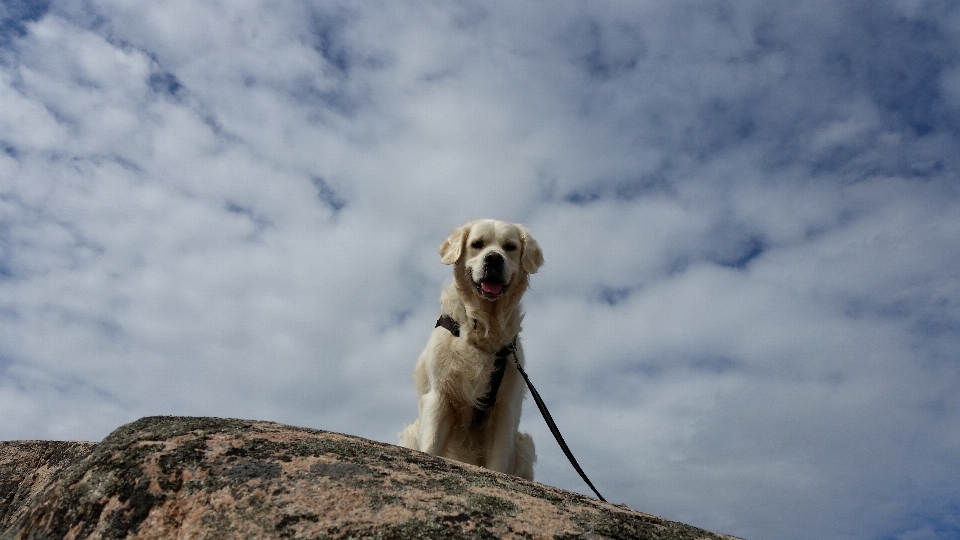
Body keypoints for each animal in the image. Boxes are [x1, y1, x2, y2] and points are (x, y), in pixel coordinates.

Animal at [398, 217, 544, 478]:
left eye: (510, 247)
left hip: (523, 443)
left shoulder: (505, 407)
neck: (483, 326)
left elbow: (497, 461)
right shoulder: (439, 397)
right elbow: (431, 445)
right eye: (477, 244)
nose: (494, 258)